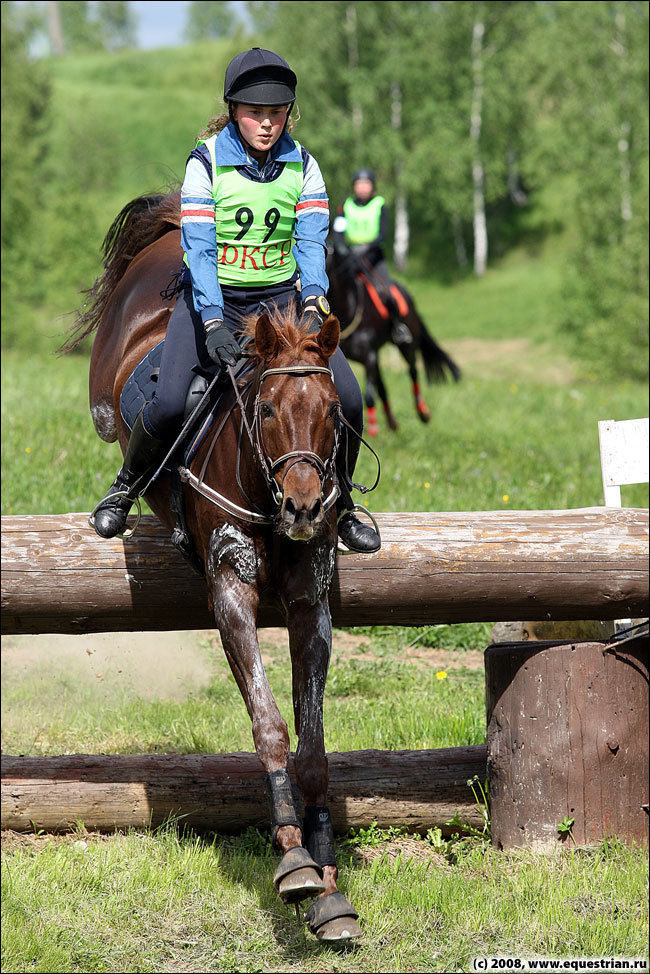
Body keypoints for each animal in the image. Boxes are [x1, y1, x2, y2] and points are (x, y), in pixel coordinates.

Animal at [70, 193, 364, 944]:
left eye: (330, 413)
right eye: (264, 408)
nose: (304, 505)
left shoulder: (309, 602)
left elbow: (313, 742)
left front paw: (328, 881)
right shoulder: (230, 588)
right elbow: (269, 722)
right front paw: (292, 860)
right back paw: (116, 500)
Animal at [326, 250, 458, 436]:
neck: (348, 309)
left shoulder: (369, 357)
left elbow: (369, 396)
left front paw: (373, 429)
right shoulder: (367, 358)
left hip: (406, 345)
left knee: (413, 371)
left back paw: (423, 411)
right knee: (383, 387)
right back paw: (392, 423)